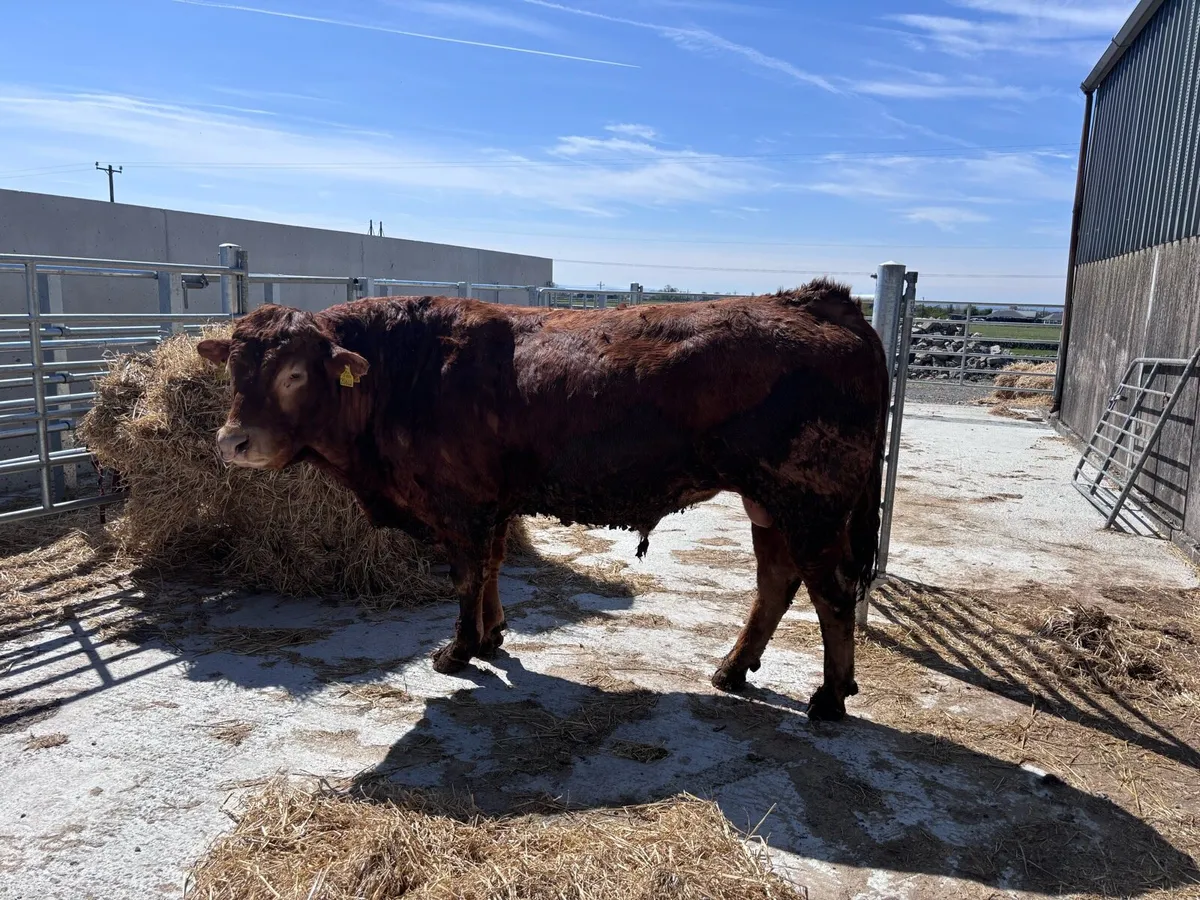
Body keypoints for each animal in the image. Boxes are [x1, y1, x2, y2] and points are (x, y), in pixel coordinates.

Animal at [196, 278, 889, 721]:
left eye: (294, 374)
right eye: (233, 370)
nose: (234, 441)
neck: (405, 372)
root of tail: (819, 301)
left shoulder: (459, 506)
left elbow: (467, 576)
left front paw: (458, 651)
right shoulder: (493, 505)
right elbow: (494, 568)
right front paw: (493, 636)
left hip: (811, 502)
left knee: (829, 593)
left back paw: (829, 698)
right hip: (769, 503)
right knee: (776, 583)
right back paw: (733, 669)